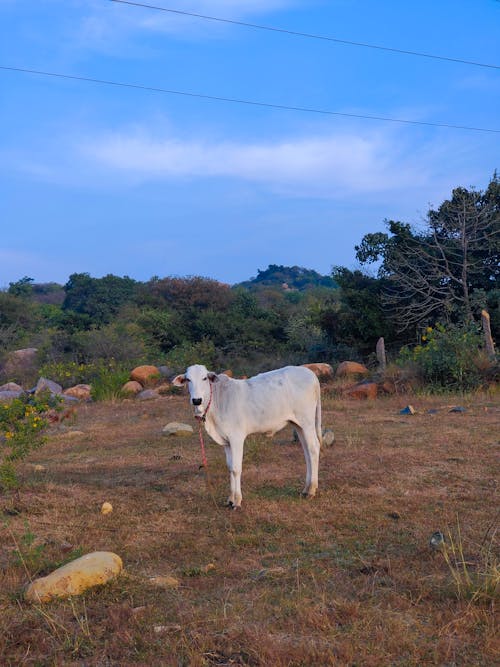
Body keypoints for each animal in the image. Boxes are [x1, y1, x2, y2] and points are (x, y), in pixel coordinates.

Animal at [172, 362, 322, 508]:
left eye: (204, 378)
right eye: (188, 379)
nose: (196, 400)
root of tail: (310, 374)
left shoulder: (236, 438)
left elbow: (236, 468)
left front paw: (237, 501)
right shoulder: (226, 441)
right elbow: (230, 467)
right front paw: (230, 499)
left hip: (307, 422)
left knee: (313, 448)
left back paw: (311, 490)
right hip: (298, 425)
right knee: (307, 452)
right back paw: (306, 489)